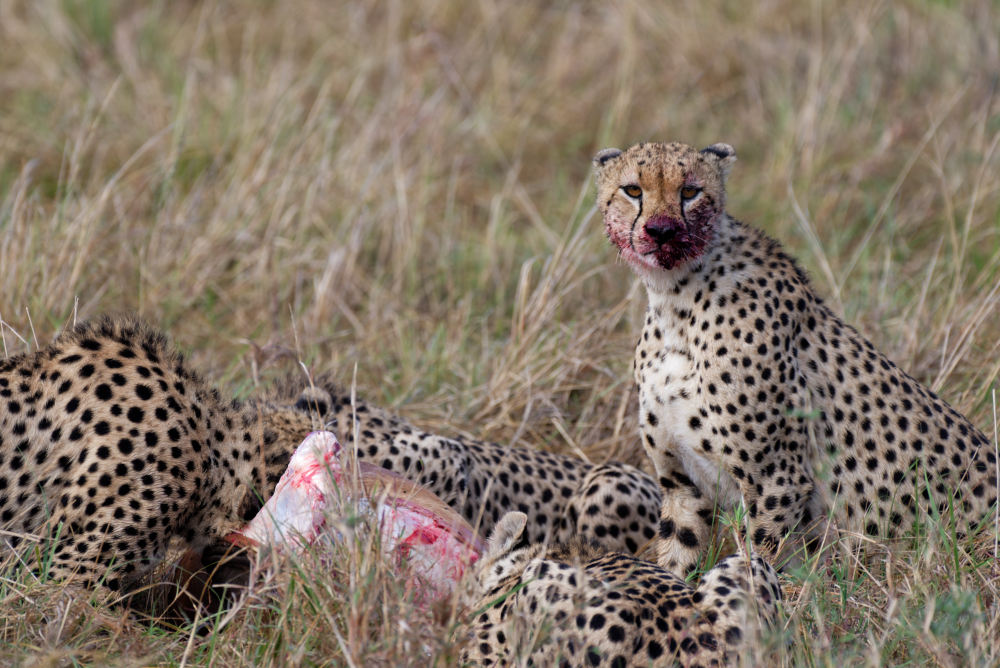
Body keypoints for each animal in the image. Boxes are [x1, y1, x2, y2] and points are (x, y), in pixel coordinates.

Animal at [592, 141, 1000, 576]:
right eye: (633, 190)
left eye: (690, 192)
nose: (661, 230)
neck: (675, 301)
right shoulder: (682, 485)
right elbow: (678, 562)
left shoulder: (776, 479)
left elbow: (756, 563)